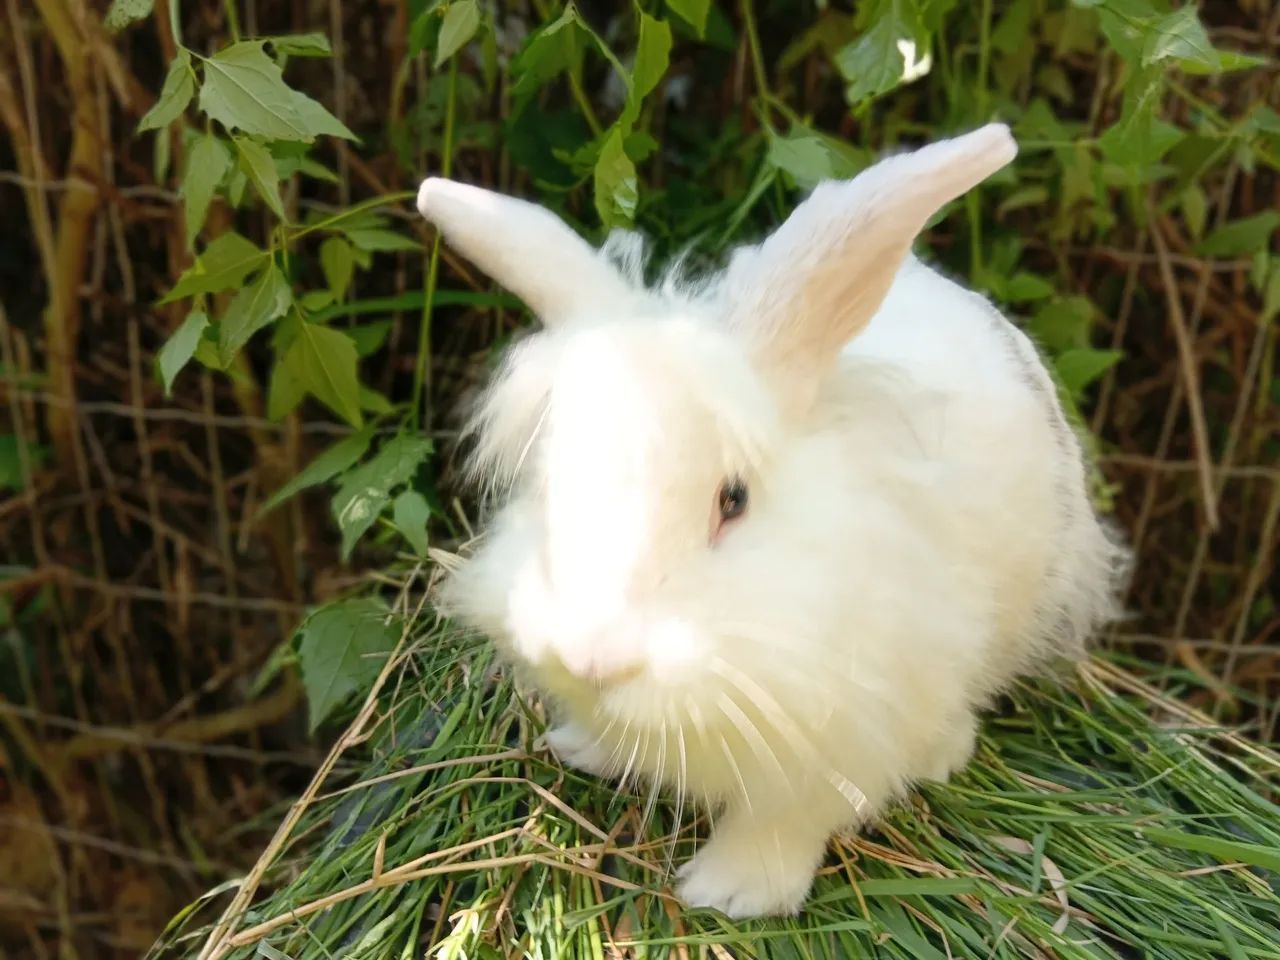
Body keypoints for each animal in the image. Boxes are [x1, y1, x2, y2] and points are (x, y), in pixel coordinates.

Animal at [416, 123, 1129, 919]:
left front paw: (728, 894)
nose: (590, 659)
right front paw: (585, 747)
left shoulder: (841, 739)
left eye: (734, 500)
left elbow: (782, 822)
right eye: (547, 484)